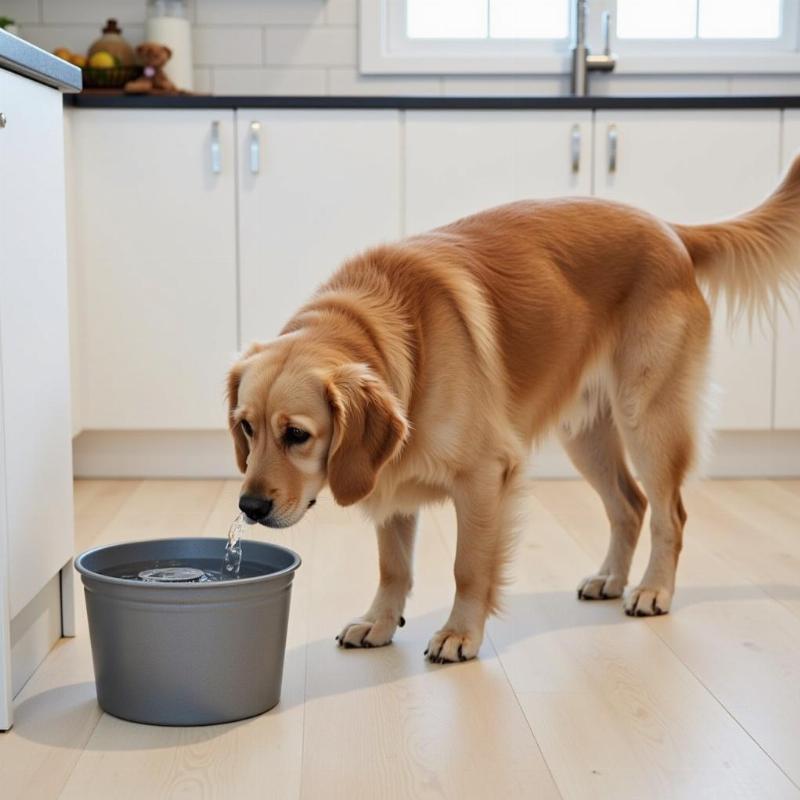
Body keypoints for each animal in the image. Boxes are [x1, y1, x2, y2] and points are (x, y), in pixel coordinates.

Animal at [225, 156, 800, 664]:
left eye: (297, 435)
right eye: (246, 428)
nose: (249, 507)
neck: (405, 335)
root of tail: (670, 231)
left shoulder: (485, 477)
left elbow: (469, 567)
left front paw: (460, 633)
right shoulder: (390, 478)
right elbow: (393, 567)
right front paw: (380, 622)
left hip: (648, 419)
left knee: (669, 514)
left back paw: (653, 589)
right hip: (586, 436)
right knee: (630, 505)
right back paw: (611, 579)